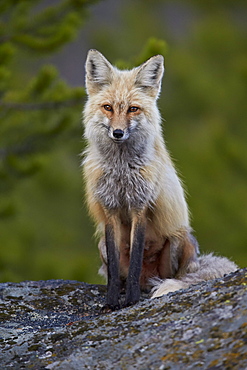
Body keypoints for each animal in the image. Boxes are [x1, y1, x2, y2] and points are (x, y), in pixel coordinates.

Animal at [82, 49, 237, 310]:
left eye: (133, 109)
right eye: (108, 107)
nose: (117, 133)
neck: (121, 169)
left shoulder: (140, 206)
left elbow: (135, 261)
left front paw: (132, 301)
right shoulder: (110, 208)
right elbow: (114, 268)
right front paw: (112, 301)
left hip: (177, 239)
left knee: (170, 277)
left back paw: (154, 286)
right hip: (101, 243)